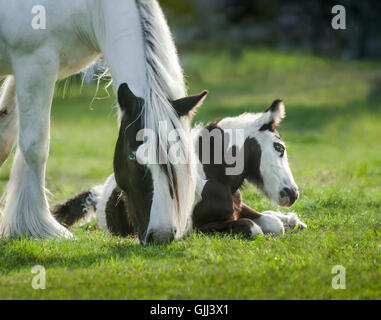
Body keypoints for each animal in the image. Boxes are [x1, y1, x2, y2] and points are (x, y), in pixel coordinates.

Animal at [0, 0, 196, 242]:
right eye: (133, 157)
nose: (161, 235)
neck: (86, 8)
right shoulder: (33, 64)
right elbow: (35, 147)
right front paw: (40, 227)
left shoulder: (23, 72)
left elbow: (5, 137)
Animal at [52, 100, 306, 240]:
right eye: (279, 147)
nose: (292, 193)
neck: (212, 179)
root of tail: (101, 192)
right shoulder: (202, 227)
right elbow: (253, 228)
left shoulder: (237, 207)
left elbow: (270, 222)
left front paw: (287, 220)